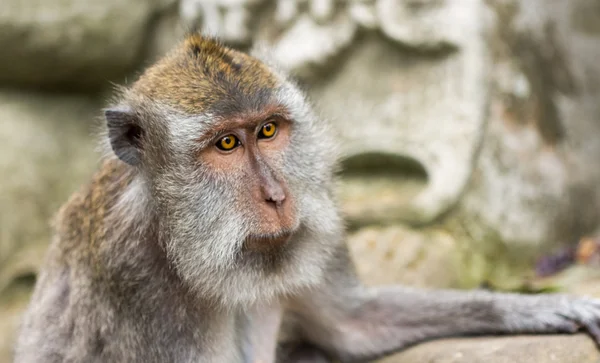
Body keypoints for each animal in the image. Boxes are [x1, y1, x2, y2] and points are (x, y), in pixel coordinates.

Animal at [12, 34, 600, 363]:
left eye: (268, 130)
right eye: (227, 144)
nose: (277, 196)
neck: (180, 238)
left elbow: (354, 325)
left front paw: (535, 306)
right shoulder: (132, 272)